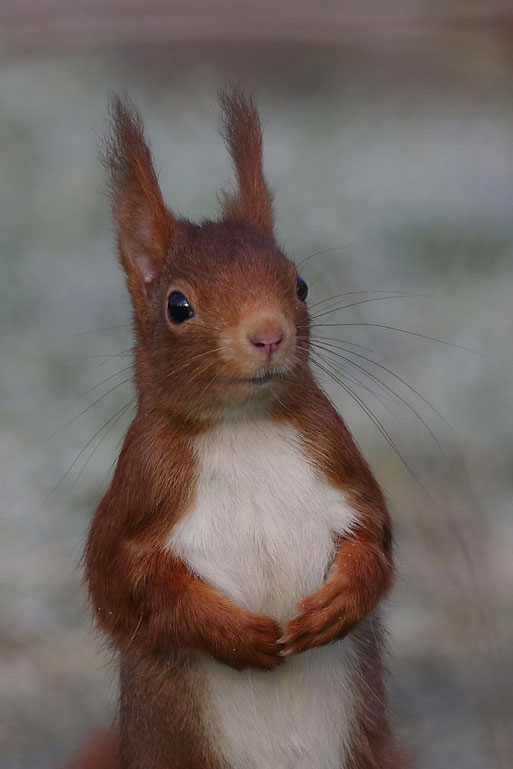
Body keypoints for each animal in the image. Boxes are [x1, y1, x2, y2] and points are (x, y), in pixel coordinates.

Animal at [76, 88, 406, 768]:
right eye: (177, 306)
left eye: (300, 284)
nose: (268, 333)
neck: (244, 427)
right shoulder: (140, 492)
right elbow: (122, 585)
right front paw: (235, 633)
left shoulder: (339, 460)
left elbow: (377, 541)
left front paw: (338, 603)